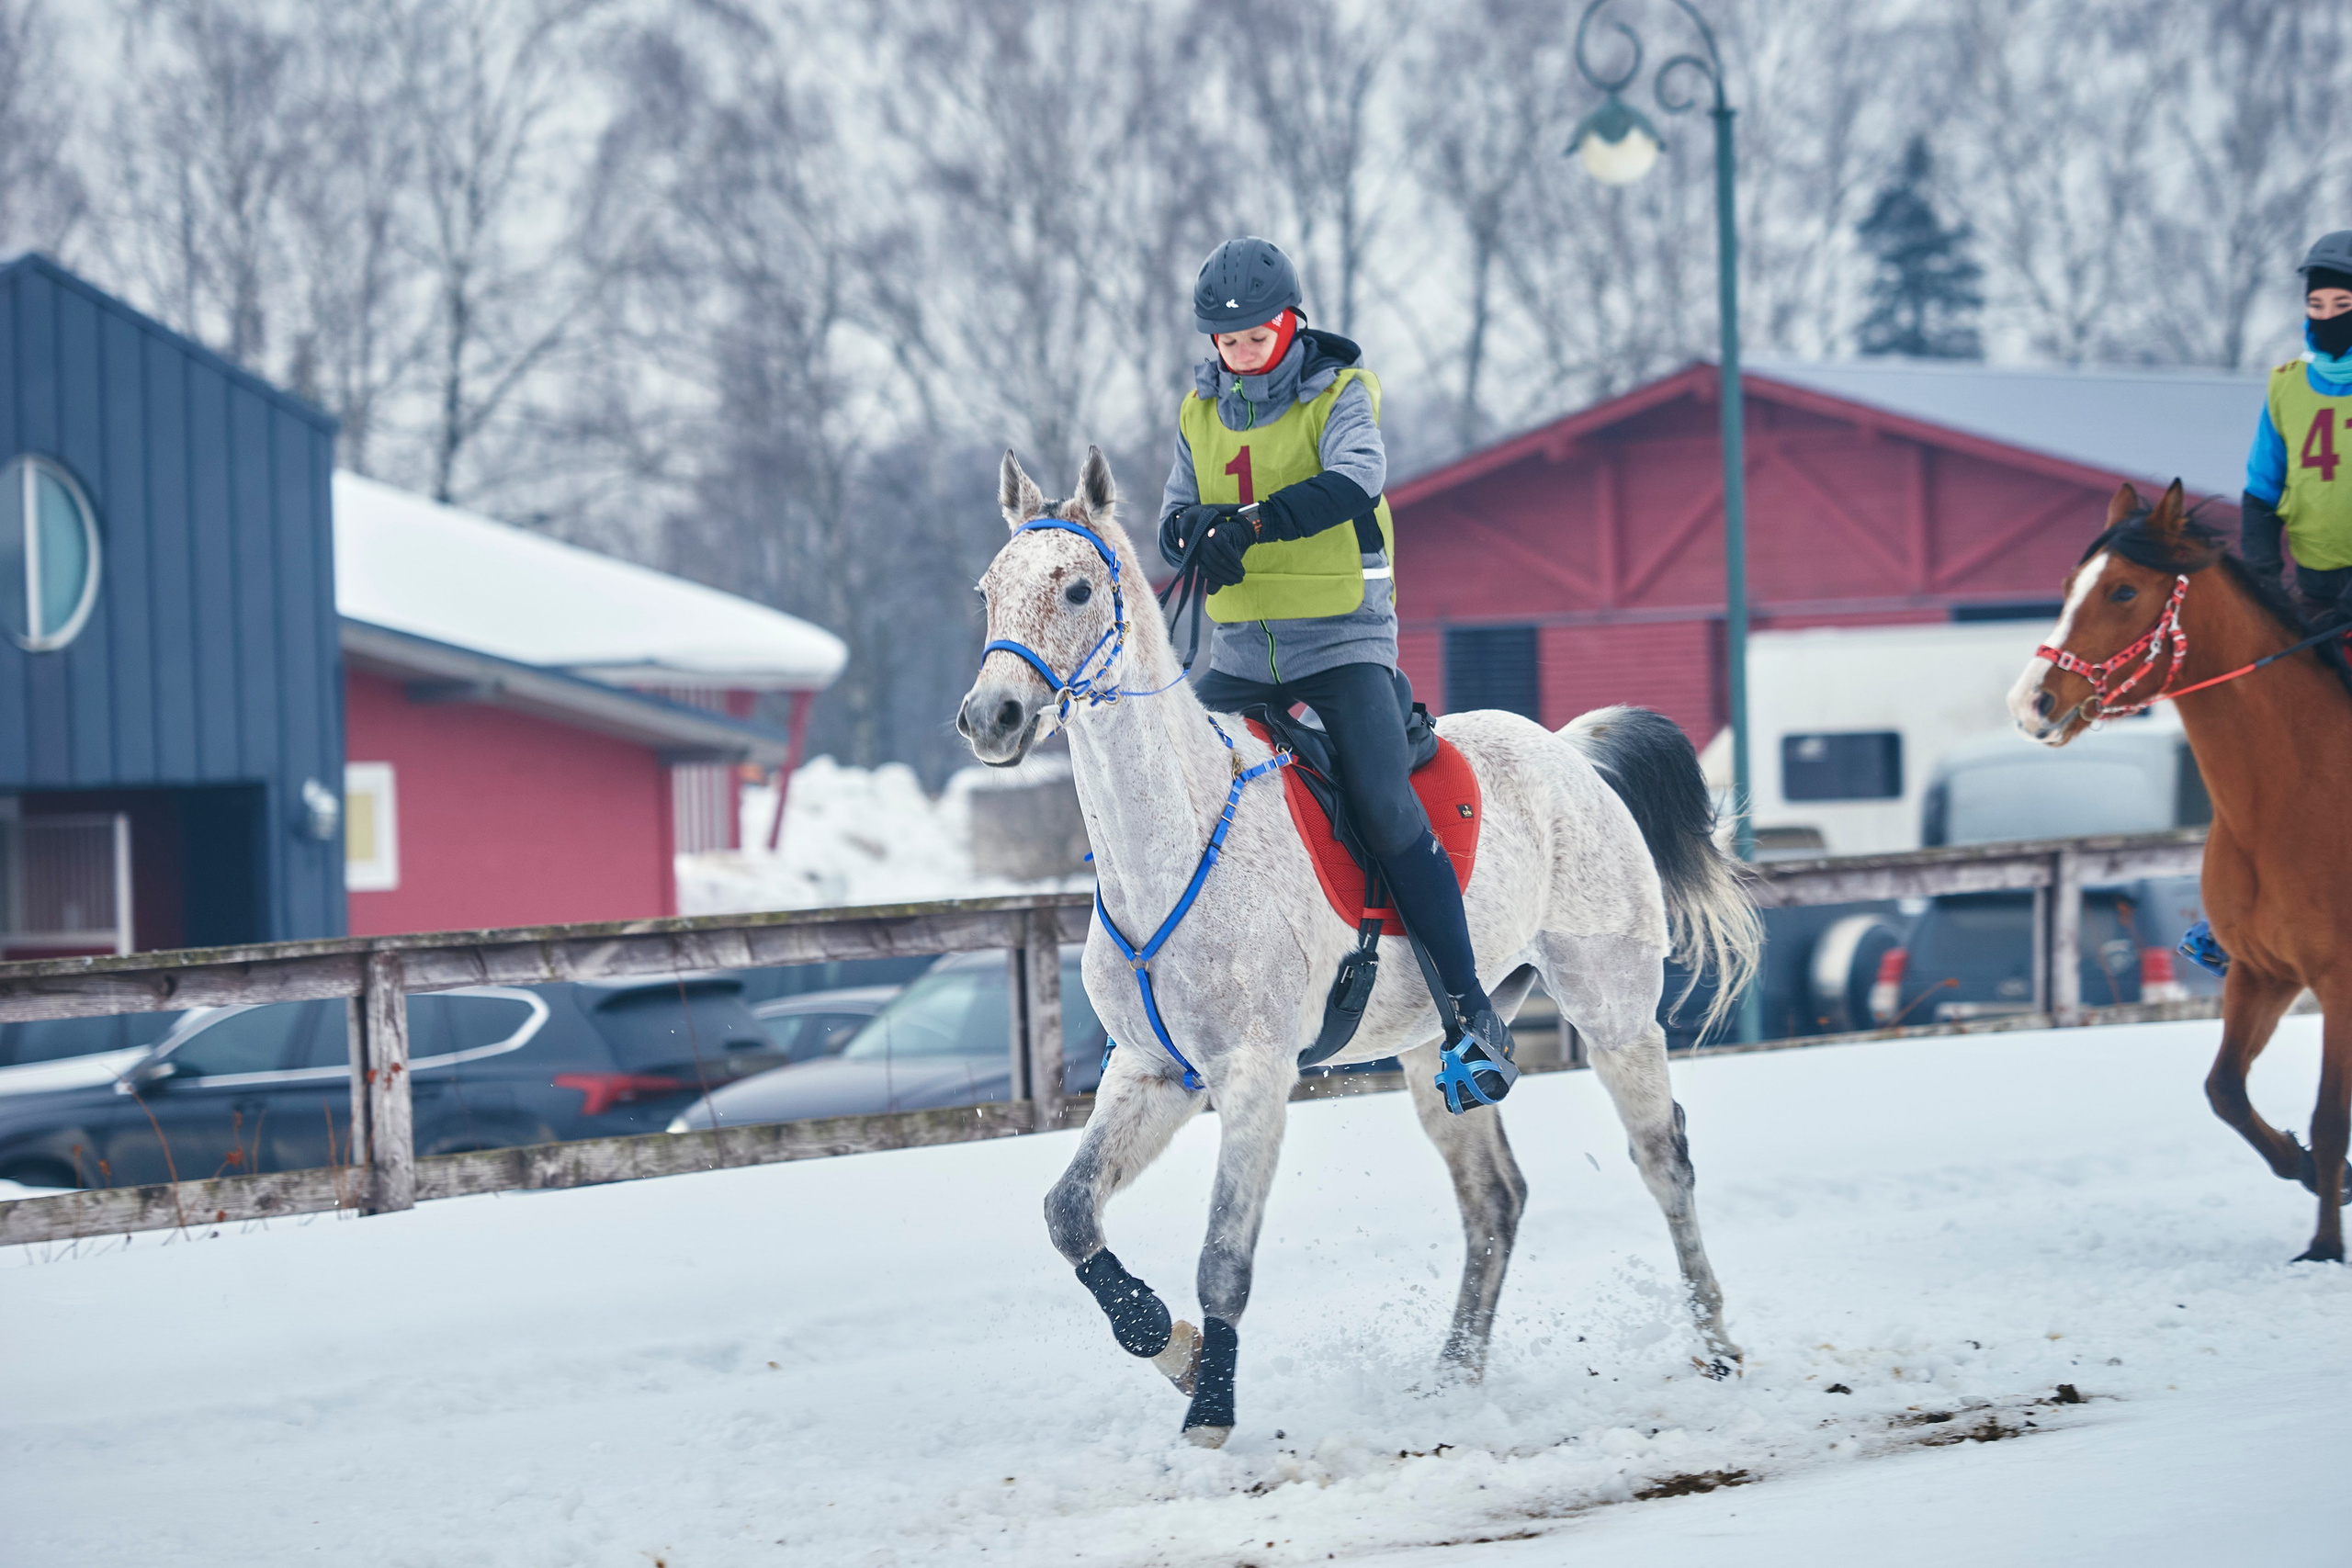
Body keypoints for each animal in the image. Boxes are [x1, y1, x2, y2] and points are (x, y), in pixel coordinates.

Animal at [956, 446, 1761, 1446]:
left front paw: (1210, 1413)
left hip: (1613, 1013)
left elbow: (1223, 1256)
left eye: (1073, 588)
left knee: (1663, 1159)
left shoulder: (1254, 1076)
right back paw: (1454, 1376)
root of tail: (1571, 753)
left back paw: (1715, 1344)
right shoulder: (1151, 1072)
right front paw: (1169, 1346)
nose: (991, 716)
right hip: (1433, 1051)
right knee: (1494, 1201)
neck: (1171, 846)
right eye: (988, 591)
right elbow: (1069, 1213)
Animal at [2010, 479, 2352, 1262]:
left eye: (2124, 590)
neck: (2293, 791)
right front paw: (2308, 1169)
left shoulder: (2341, 979)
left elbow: (2331, 1117)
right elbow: (2224, 1090)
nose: (2030, 702)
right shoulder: (2261, 970)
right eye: (2070, 586)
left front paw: (2324, 1247)